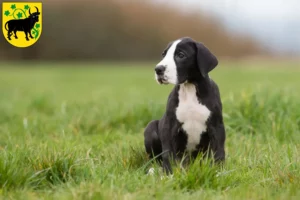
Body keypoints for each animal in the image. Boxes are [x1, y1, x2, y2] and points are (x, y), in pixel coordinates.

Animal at [144, 36, 226, 174]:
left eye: (181, 55)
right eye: (163, 54)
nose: (158, 69)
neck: (190, 88)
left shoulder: (217, 126)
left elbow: (219, 152)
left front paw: (219, 172)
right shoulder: (169, 126)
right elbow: (168, 153)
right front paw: (168, 174)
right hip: (151, 128)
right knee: (155, 158)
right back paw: (154, 170)